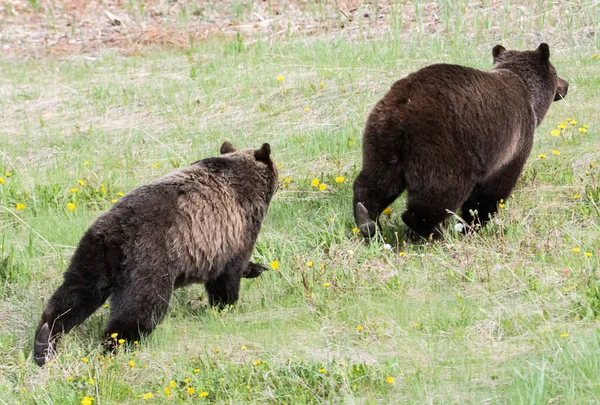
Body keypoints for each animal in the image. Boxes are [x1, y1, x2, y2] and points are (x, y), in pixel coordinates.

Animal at [32, 142, 276, 366]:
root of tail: (115, 235)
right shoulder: (234, 229)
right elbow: (227, 275)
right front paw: (227, 304)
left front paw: (256, 268)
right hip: (151, 261)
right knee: (140, 308)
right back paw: (115, 347)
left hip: (92, 256)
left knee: (75, 295)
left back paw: (44, 342)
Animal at [354, 43, 568, 240]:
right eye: (555, 71)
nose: (566, 85)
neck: (529, 96)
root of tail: (399, 111)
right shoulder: (513, 141)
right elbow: (492, 189)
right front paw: (473, 223)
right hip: (442, 148)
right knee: (439, 193)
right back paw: (432, 231)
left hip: (381, 142)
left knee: (376, 182)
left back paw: (367, 221)